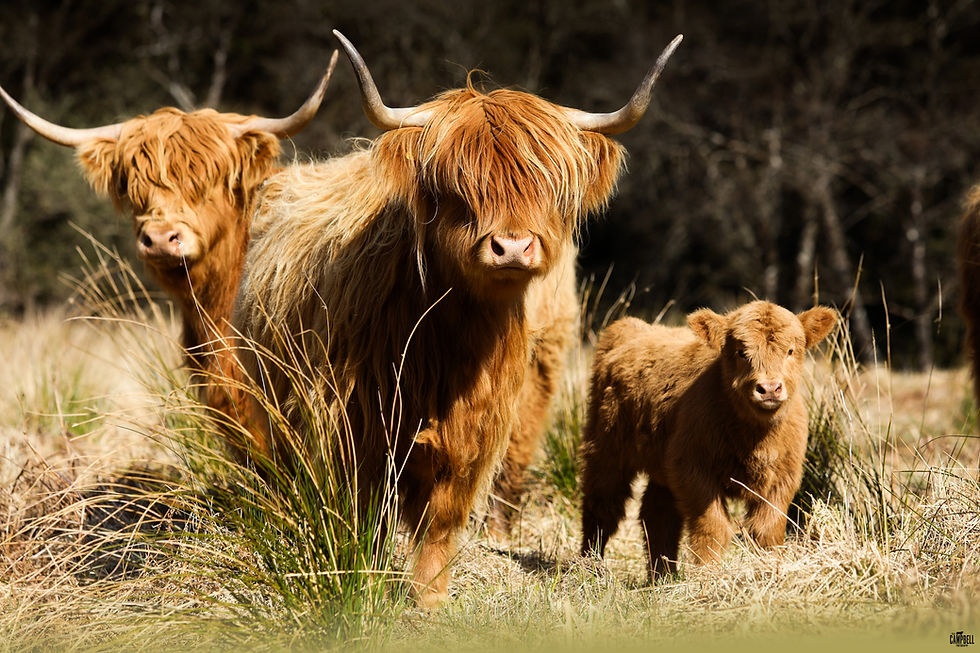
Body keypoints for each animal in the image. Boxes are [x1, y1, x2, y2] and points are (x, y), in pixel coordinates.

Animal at [233, 30, 682, 607]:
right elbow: (362, 515)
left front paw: (429, 599)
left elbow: (442, 520)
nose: (512, 247)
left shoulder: (477, 431)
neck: (449, 339)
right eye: (458, 189)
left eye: (544, 186)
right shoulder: (352, 423)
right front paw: (361, 580)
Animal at [579, 301, 836, 579]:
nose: (769, 388)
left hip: (661, 465)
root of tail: (629, 326)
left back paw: (662, 576)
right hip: (606, 449)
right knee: (602, 507)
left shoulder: (783, 476)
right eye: (740, 352)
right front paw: (707, 575)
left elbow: (767, 529)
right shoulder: (693, 469)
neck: (753, 437)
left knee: (657, 513)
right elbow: (713, 526)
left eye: (790, 350)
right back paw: (589, 568)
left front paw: (772, 569)